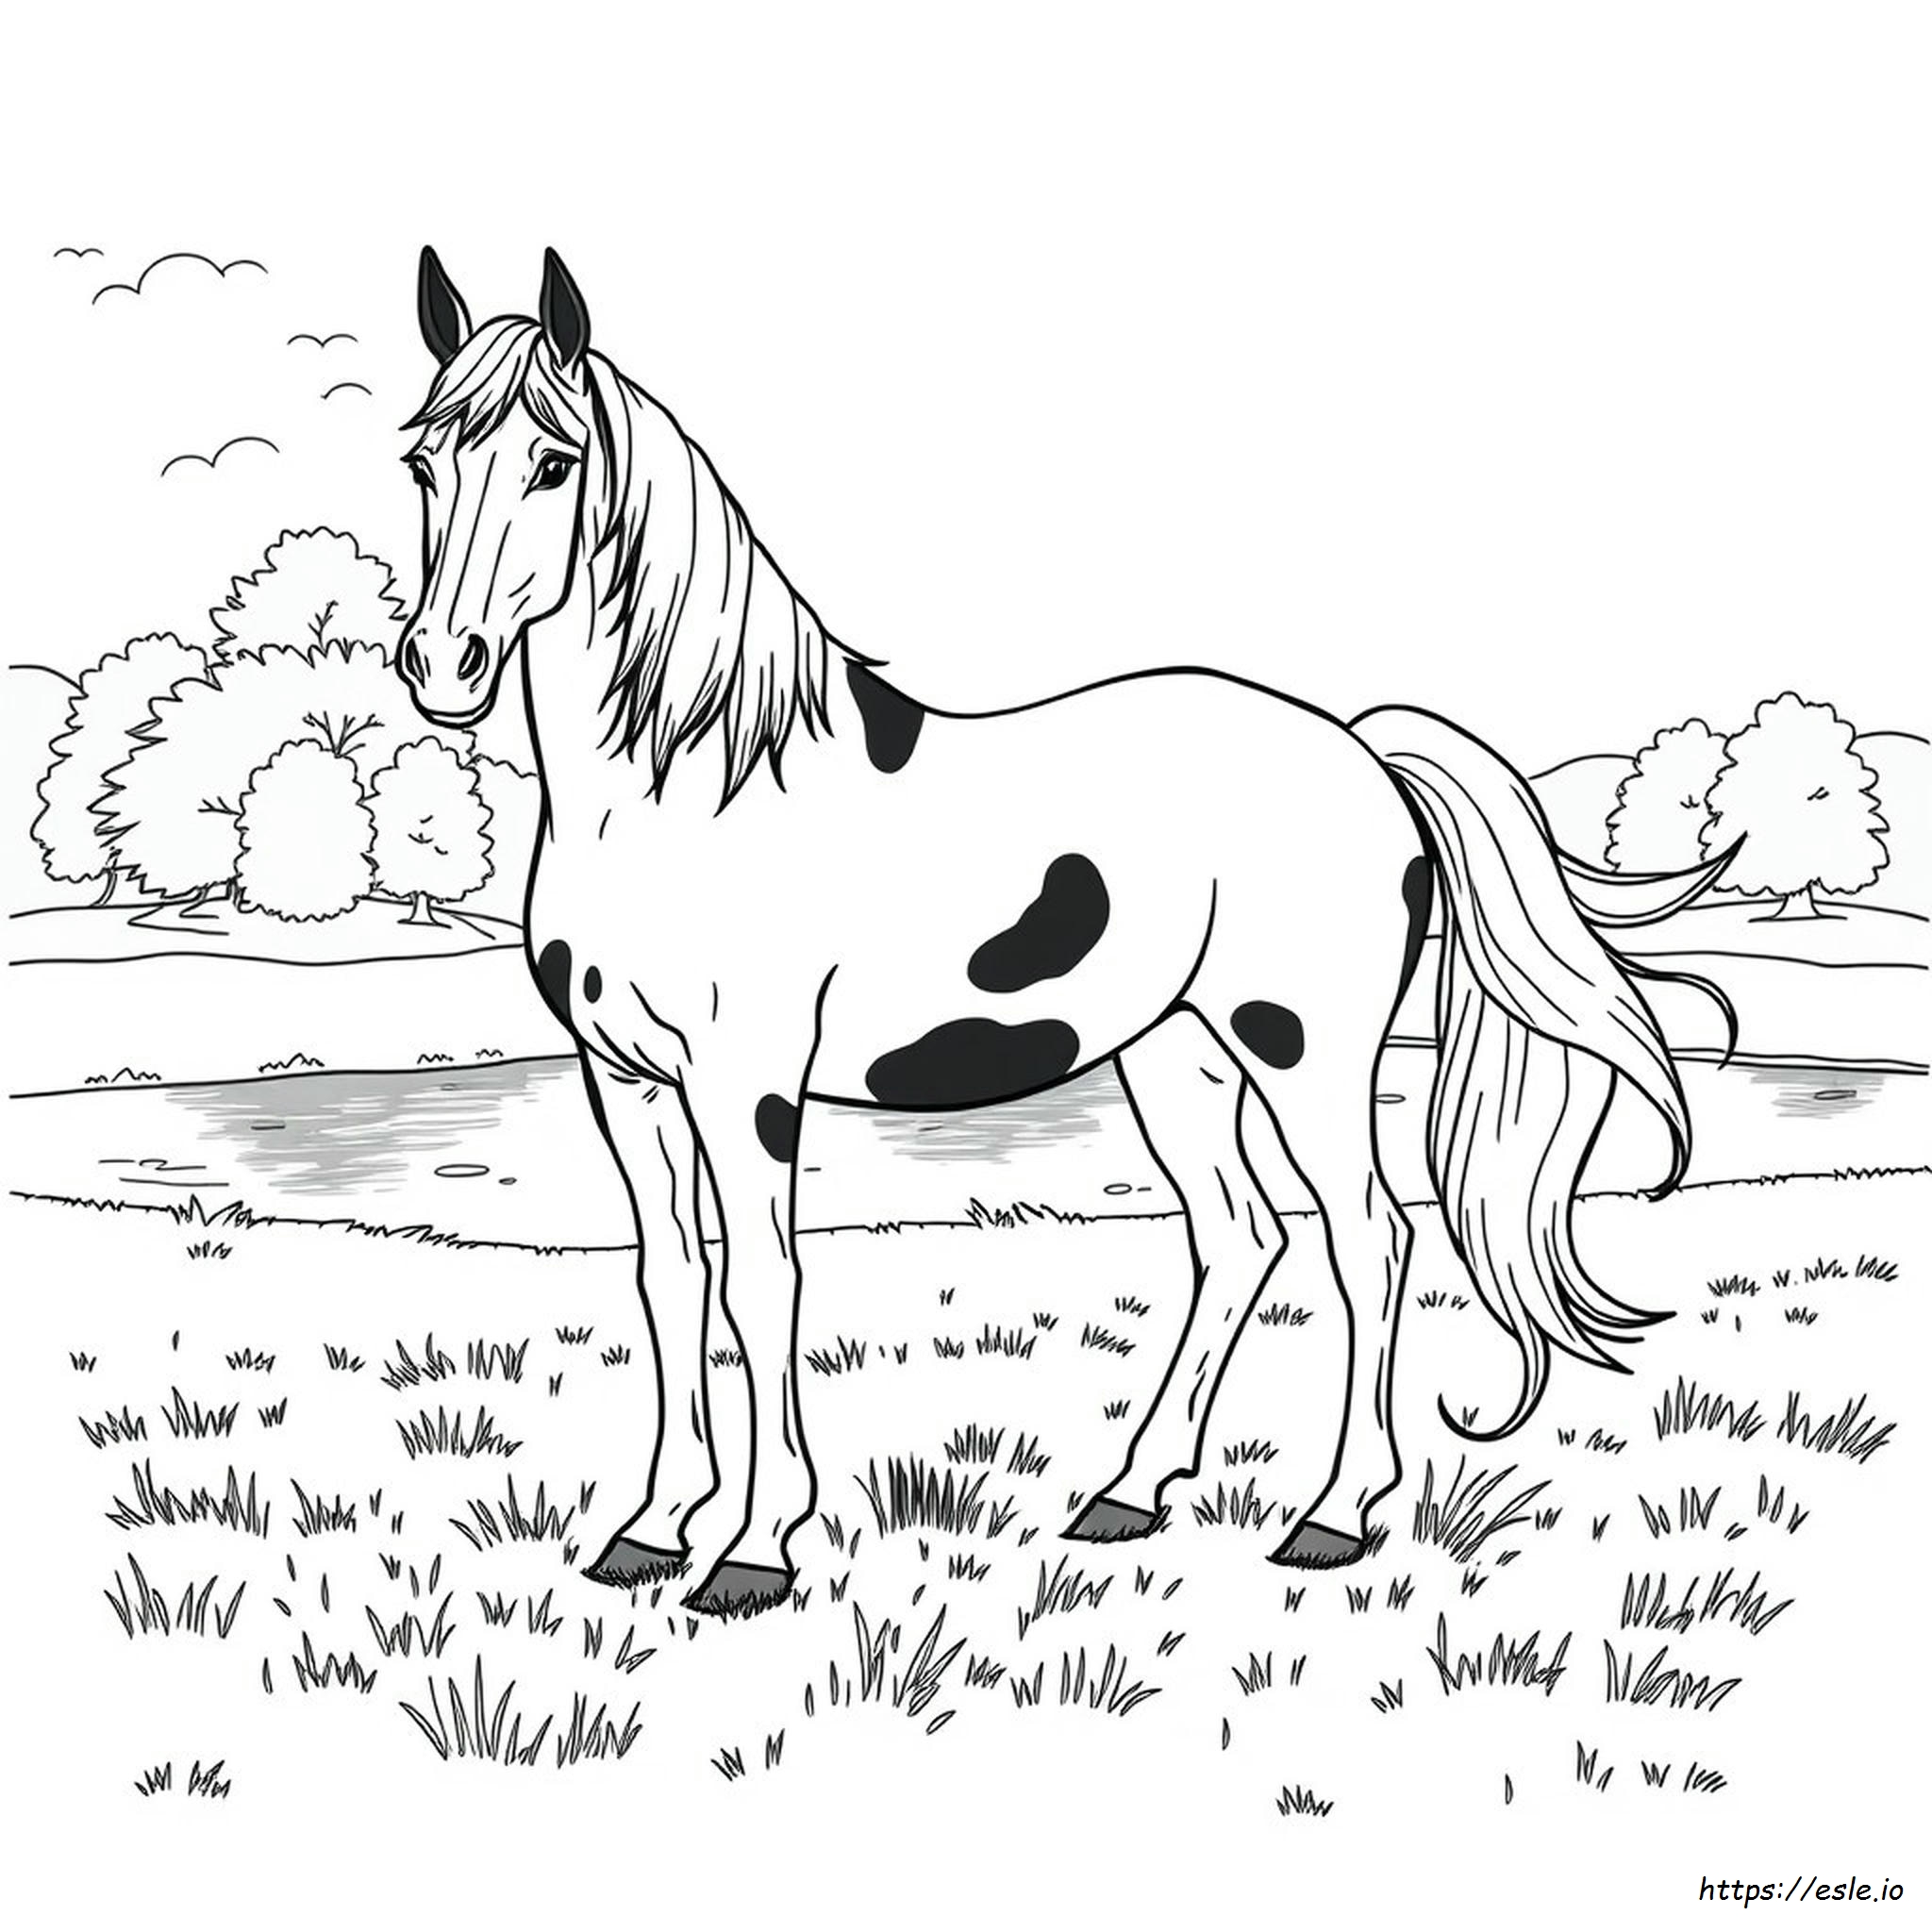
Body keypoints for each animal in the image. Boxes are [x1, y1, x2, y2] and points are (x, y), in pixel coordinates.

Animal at [396, 247, 1729, 1617]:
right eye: (423, 463)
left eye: (555, 463)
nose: (442, 665)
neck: (693, 783)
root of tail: (1361, 752)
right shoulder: (626, 1079)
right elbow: (671, 1282)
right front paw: (652, 1530)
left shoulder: (745, 1082)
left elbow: (765, 1286)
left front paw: (755, 1549)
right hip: (1178, 1053)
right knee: (1240, 1240)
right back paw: (1129, 1493)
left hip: (1302, 1049)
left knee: (1369, 1239)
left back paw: (1333, 1517)